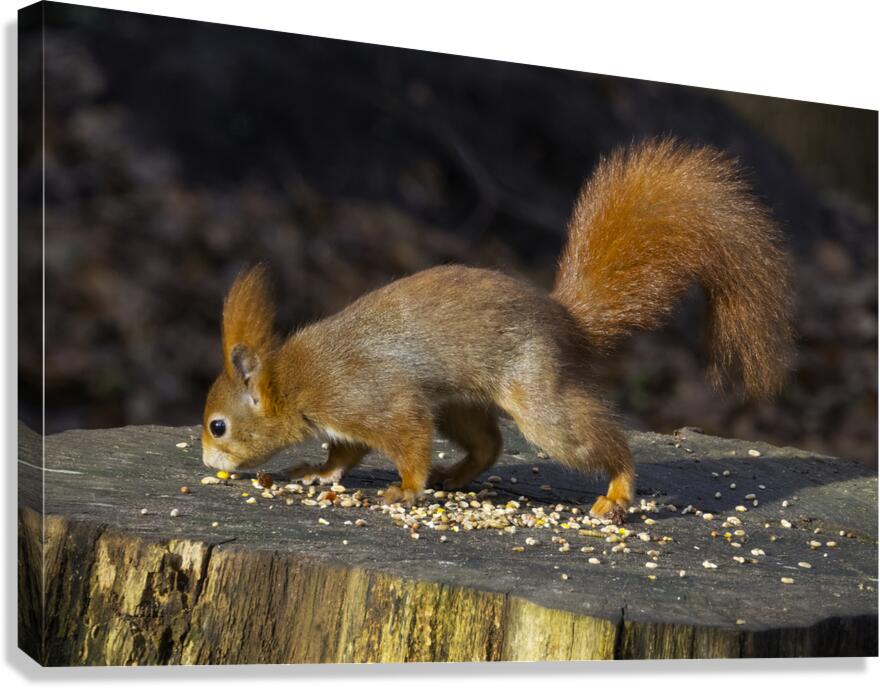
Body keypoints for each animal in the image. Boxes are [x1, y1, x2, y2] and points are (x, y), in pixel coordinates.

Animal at [201, 137, 794, 524]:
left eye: (218, 427)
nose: (207, 462)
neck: (294, 381)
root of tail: (563, 318)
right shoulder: (349, 422)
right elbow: (344, 456)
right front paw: (317, 473)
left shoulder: (370, 398)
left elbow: (407, 441)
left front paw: (405, 490)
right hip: (460, 403)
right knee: (489, 443)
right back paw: (456, 476)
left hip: (539, 398)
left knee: (591, 439)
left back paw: (618, 491)